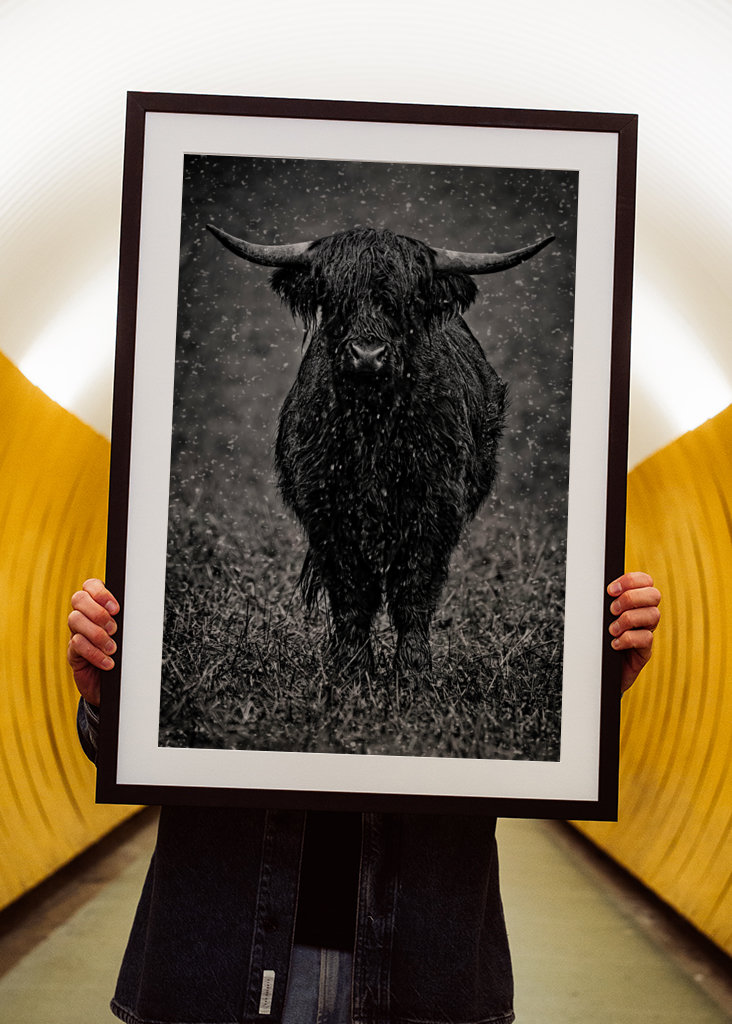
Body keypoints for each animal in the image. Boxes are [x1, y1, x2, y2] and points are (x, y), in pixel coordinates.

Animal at [206, 223, 553, 680]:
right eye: (333, 296)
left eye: (407, 302)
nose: (367, 355)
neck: (373, 427)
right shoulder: (327, 511)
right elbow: (352, 591)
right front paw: (353, 667)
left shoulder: (435, 507)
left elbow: (413, 588)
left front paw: (414, 670)